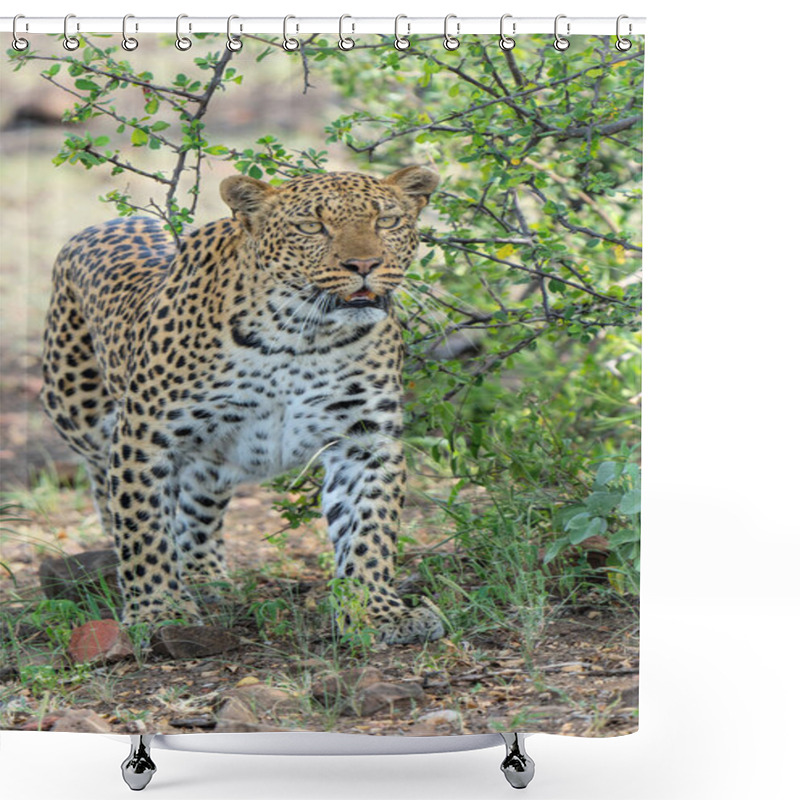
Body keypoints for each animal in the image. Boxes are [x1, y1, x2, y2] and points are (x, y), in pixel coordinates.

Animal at [42, 166, 444, 648]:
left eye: (387, 221)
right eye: (311, 227)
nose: (364, 266)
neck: (302, 337)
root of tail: (104, 222)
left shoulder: (363, 440)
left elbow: (369, 530)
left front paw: (377, 612)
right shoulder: (146, 437)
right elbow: (144, 529)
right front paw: (159, 612)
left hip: (210, 459)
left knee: (197, 504)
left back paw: (203, 575)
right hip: (79, 413)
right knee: (107, 488)